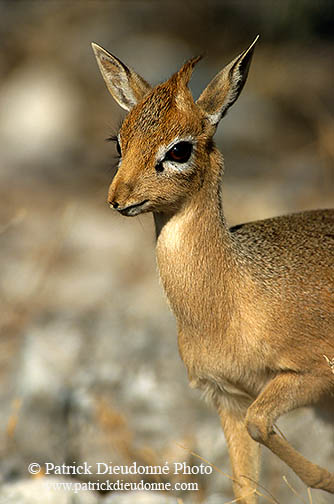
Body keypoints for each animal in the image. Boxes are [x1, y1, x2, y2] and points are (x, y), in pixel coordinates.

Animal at [92, 37, 334, 502]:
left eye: (180, 148)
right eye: (118, 142)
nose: (118, 198)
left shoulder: (311, 376)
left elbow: (262, 425)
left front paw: (325, 478)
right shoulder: (228, 397)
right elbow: (245, 485)